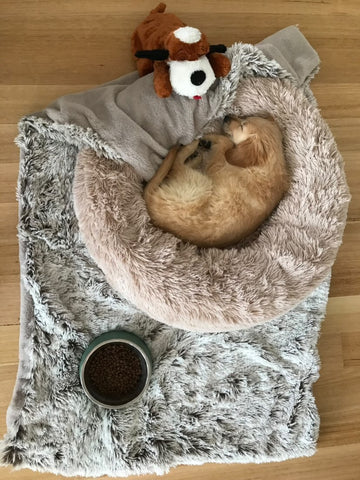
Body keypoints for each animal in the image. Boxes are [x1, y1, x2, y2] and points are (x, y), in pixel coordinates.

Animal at [143, 115, 290, 248]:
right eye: (245, 118)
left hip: (199, 183)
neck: (265, 167)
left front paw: (211, 137)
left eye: (242, 126)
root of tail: (152, 206)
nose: (226, 116)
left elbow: (226, 143)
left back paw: (193, 148)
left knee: (177, 164)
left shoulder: (216, 164)